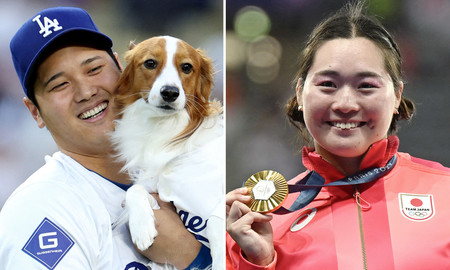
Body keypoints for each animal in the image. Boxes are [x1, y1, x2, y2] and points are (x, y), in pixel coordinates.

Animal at [111, 36, 224, 270]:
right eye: (150, 63)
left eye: (187, 67)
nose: (170, 92)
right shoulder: (154, 186)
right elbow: (133, 191)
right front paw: (142, 227)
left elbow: (216, 221)